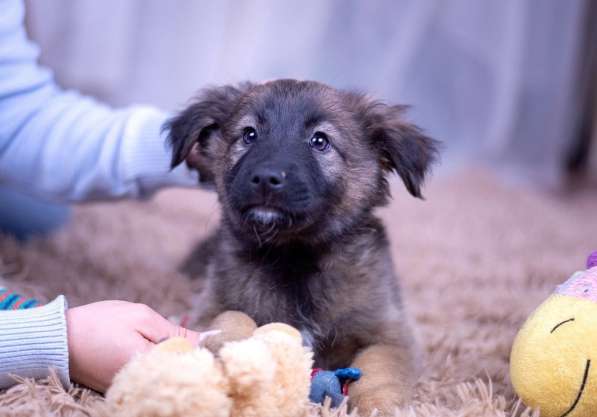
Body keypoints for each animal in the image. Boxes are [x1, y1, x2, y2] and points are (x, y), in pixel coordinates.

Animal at [165, 79, 436, 412]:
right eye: (249, 134)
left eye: (320, 141)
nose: (265, 178)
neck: (294, 257)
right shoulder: (207, 309)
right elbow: (231, 318)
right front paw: (239, 359)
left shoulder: (391, 333)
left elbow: (380, 369)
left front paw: (379, 405)